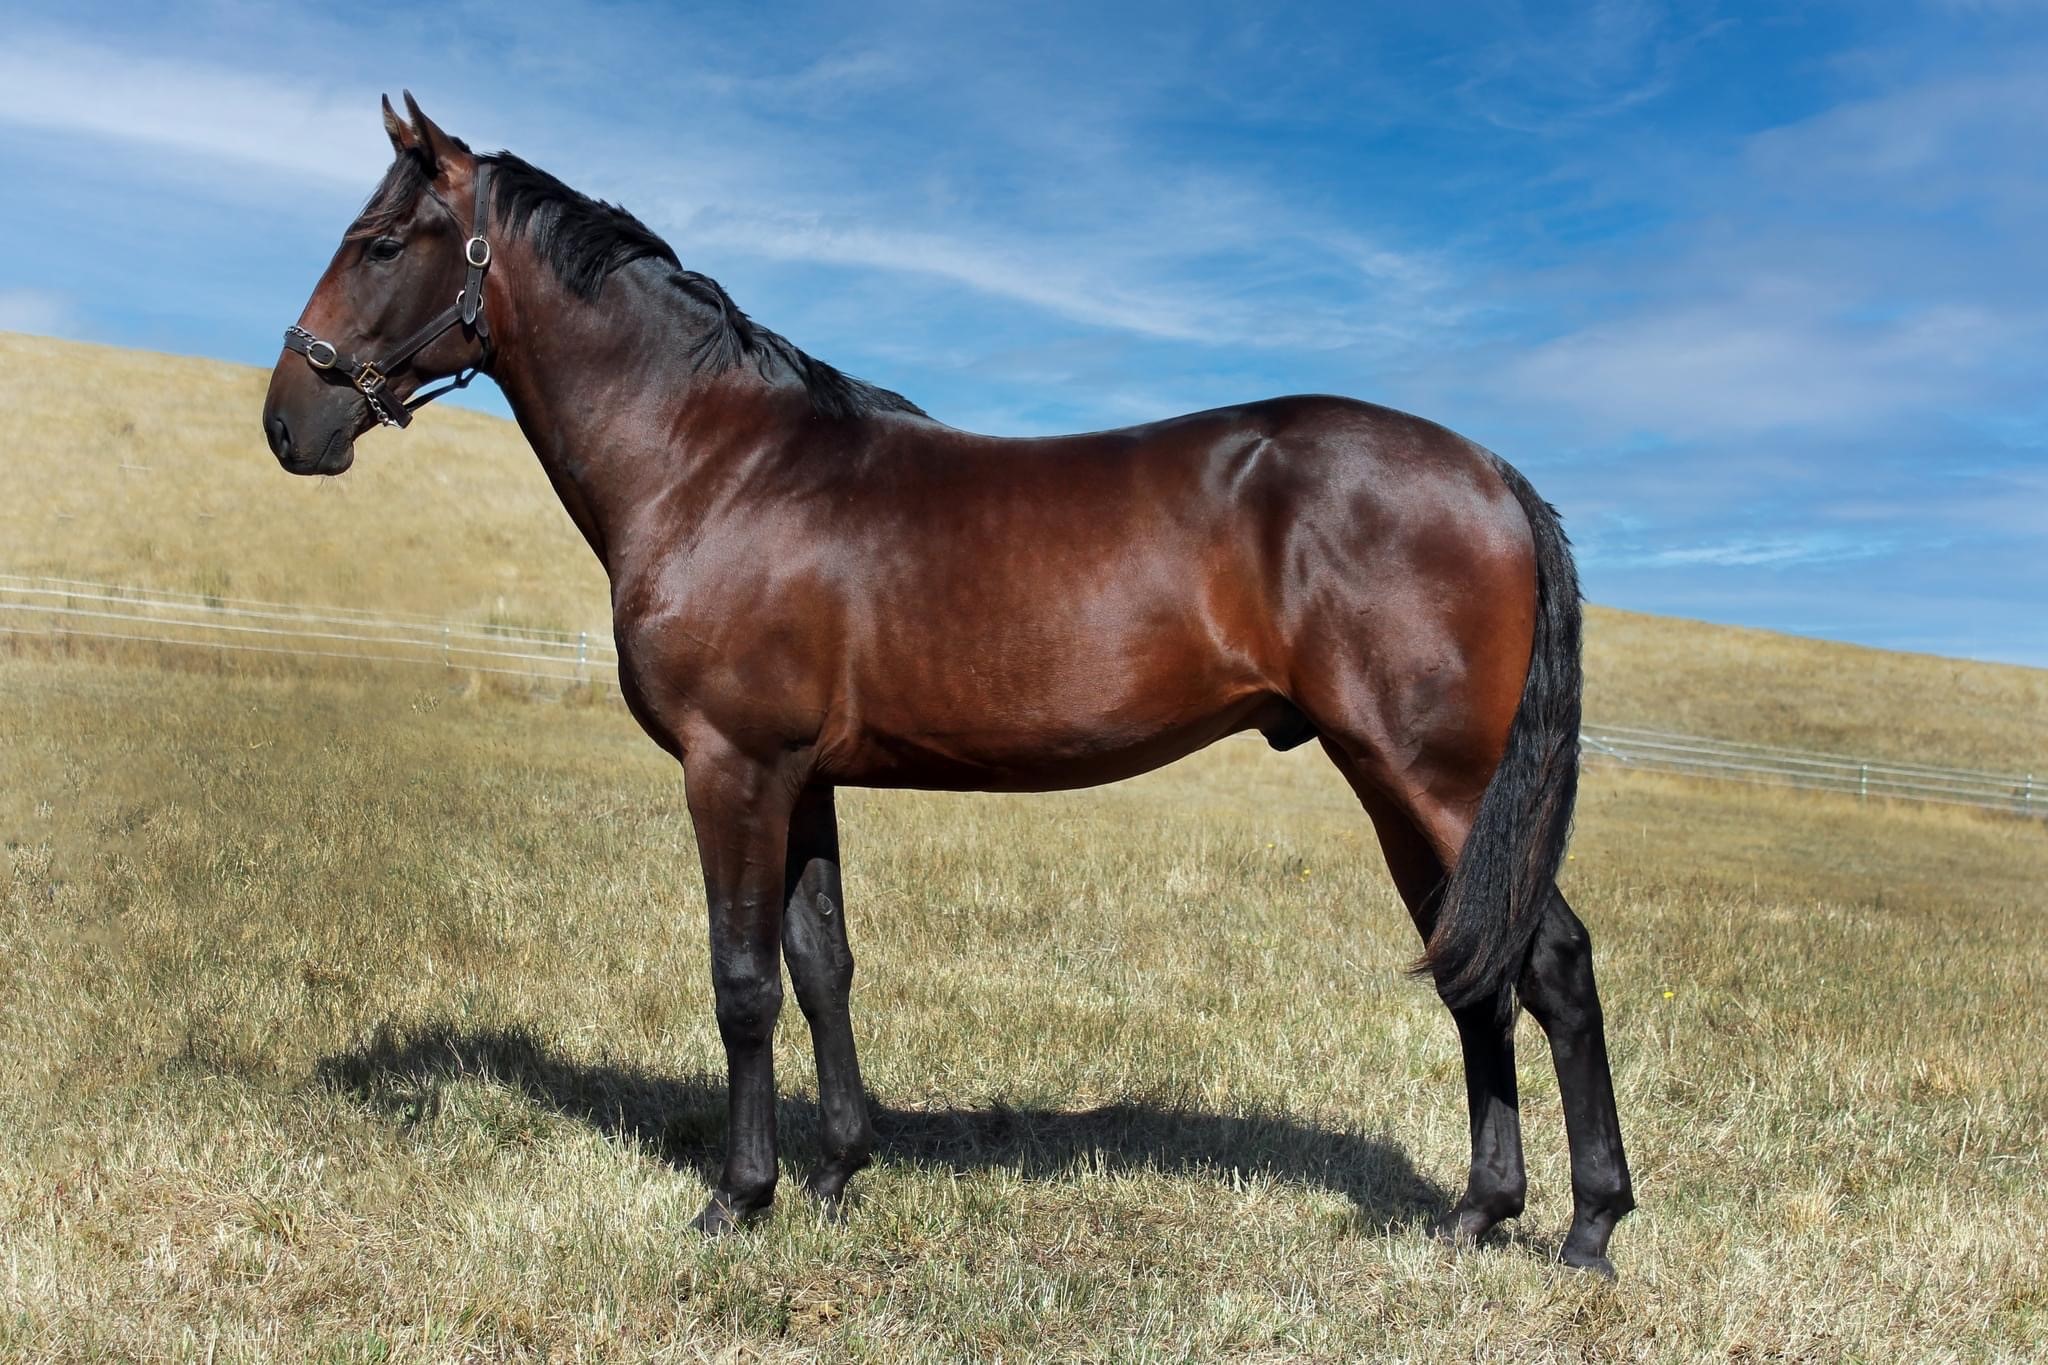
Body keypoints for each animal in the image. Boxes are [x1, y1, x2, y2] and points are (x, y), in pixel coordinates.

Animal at [261, 94, 1634, 1275]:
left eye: (378, 243)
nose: (289, 423)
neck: (717, 465)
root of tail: (1489, 471)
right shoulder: (801, 778)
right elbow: (820, 963)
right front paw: (835, 1172)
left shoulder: (731, 767)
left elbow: (741, 979)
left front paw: (739, 1197)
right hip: (1399, 788)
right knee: (1473, 967)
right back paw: (1477, 1213)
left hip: (1436, 777)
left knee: (1550, 964)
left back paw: (1589, 1228)